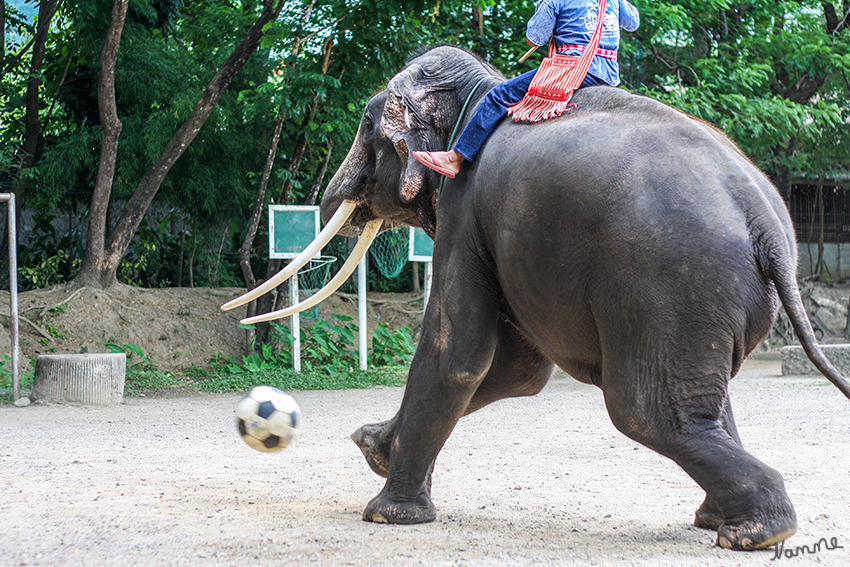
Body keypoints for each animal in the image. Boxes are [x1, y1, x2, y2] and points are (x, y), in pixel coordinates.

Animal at [224, 46, 848, 552]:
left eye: (364, 122)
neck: (483, 90)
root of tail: (767, 226)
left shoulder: (464, 209)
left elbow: (460, 354)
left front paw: (385, 514)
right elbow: (516, 372)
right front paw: (374, 446)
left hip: (671, 286)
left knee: (645, 411)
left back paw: (757, 531)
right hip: (706, 300)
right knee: (700, 403)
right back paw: (725, 521)